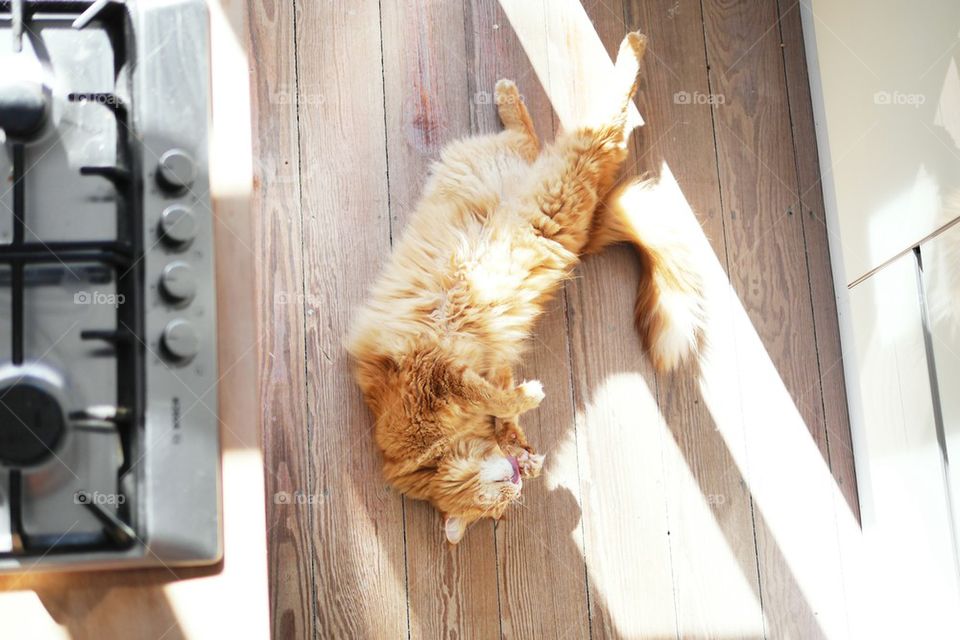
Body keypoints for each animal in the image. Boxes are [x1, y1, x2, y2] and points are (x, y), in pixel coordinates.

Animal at [346, 31, 704, 544]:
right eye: (497, 506)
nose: (516, 481)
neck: (421, 454)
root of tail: (583, 233)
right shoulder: (465, 372)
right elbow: (502, 402)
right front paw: (526, 443)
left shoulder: (437, 376)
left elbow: (492, 395)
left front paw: (525, 410)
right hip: (556, 182)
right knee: (549, 137)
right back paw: (522, 92)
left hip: (560, 184)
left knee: (598, 124)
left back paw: (616, 53)